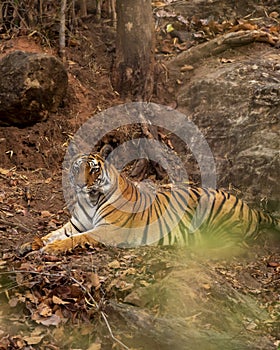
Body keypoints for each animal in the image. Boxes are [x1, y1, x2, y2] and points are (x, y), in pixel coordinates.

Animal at [18, 150, 278, 254]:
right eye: (76, 169)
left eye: (92, 169)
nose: (81, 184)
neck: (89, 200)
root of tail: (252, 209)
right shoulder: (74, 225)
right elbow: (52, 234)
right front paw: (29, 244)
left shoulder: (107, 230)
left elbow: (76, 240)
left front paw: (50, 249)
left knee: (234, 246)